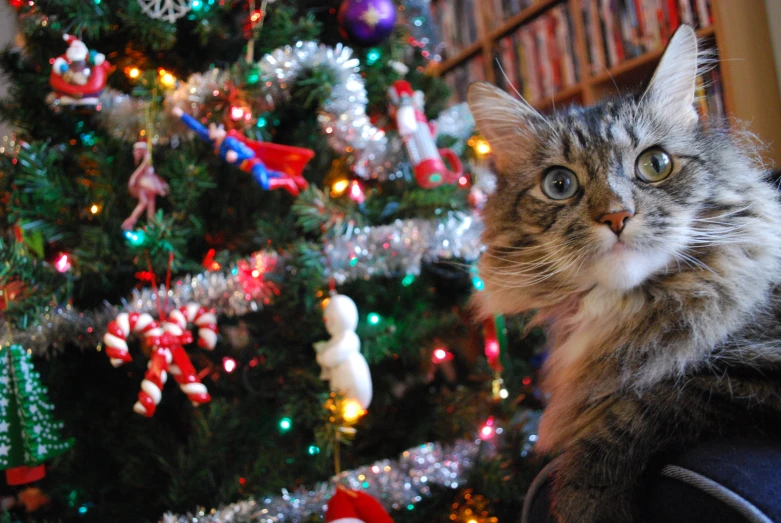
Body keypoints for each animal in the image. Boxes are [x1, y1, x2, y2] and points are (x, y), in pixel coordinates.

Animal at [466, 25, 780, 523]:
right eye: (559, 184)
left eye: (655, 164)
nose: (616, 217)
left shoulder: (747, 367)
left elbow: (639, 410)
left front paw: (583, 503)